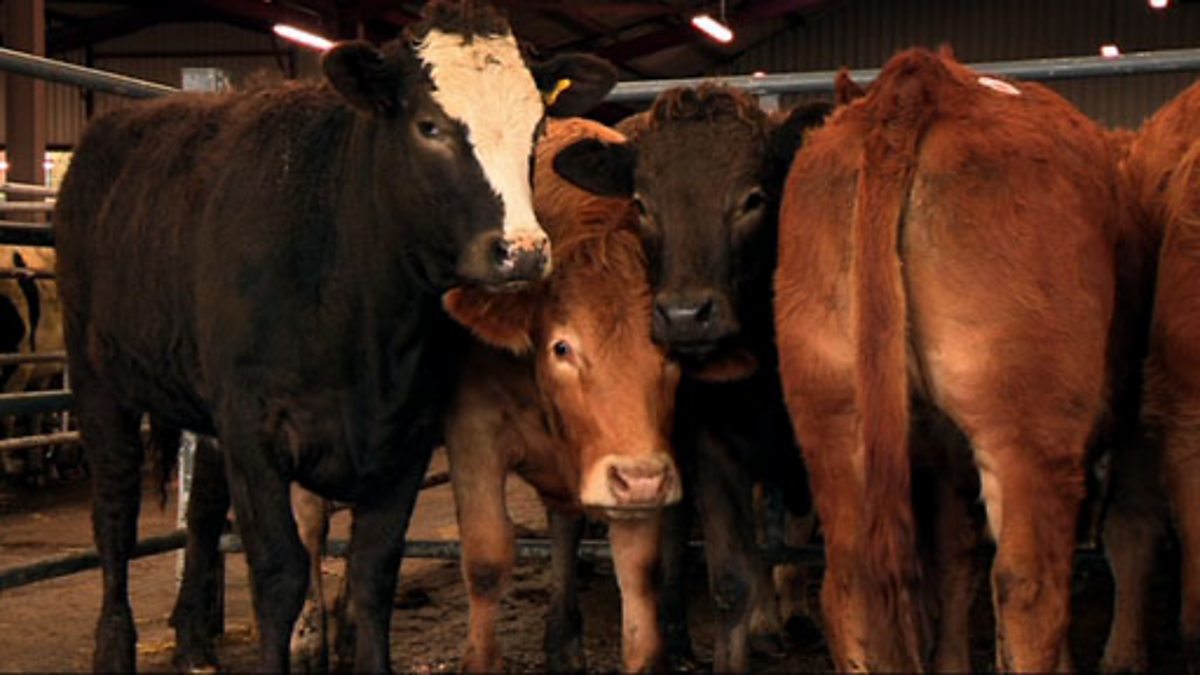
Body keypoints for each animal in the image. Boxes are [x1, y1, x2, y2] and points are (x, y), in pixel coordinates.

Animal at [51, 1, 616, 670]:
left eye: (535, 130)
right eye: (429, 126)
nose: (523, 252)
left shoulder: (404, 435)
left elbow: (374, 572)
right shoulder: (254, 432)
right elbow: (279, 572)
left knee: (203, 511)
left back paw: (192, 639)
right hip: (97, 380)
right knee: (115, 514)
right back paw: (115, 646)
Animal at [771, 47, 1129, 671]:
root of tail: (924, 80)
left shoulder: (939, 457)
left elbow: (951, 560)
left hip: (830, 412)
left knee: (850, 586)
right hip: (1028, 427)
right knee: (1029, 588)